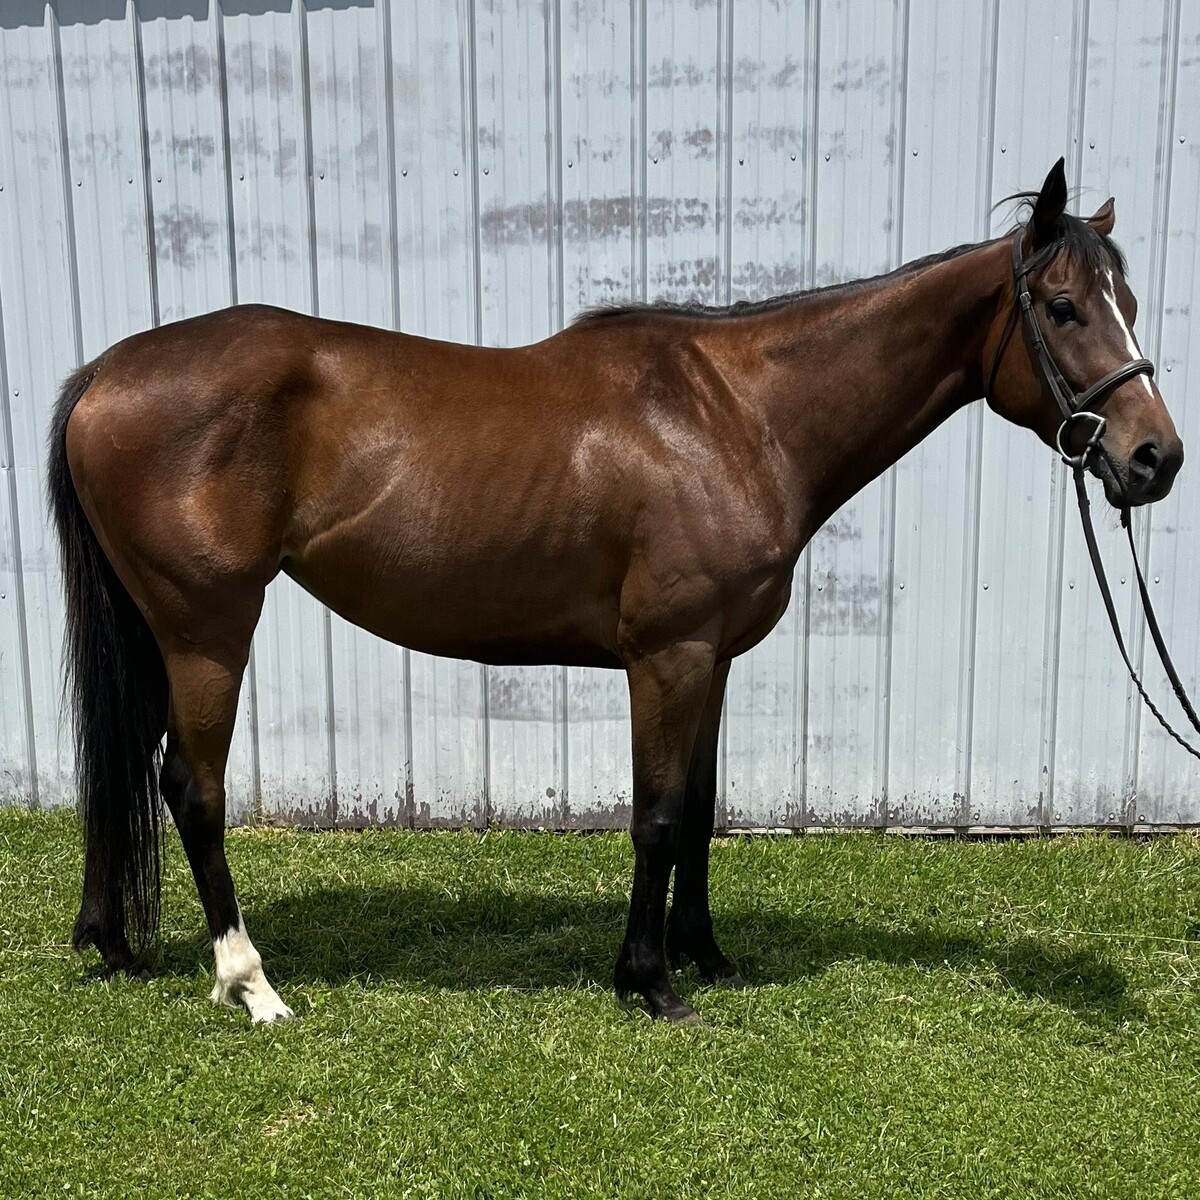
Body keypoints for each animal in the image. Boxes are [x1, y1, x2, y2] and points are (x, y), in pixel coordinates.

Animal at [48, 159, 1182, 1024]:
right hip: (207, 628)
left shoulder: (713, 658)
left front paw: (707, 956)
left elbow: (702, 809)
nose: (1155, 459)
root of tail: (107, 371)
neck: (738, 416)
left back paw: (114, 946)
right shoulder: (666, 657)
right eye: (1065, 307)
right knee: (191, 790)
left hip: (155, 629)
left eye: (1130, 306)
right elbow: (656, 817)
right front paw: (650, 982)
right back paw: (253, 986)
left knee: (121, 772)